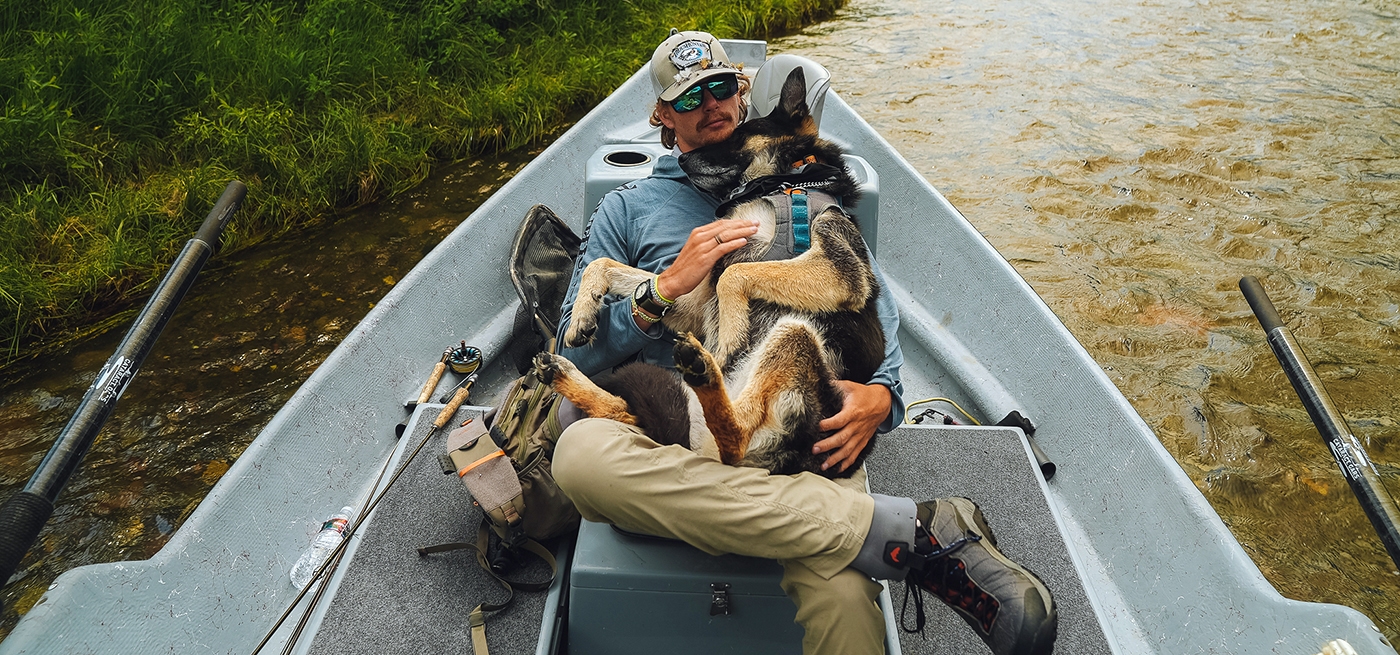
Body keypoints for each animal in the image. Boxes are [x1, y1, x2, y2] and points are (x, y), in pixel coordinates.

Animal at [534, 66, 884, 478]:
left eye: (736, 135)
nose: (683, 161)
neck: (789, 182)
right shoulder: (696, 295)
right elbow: (604, 265)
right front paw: (582, 315)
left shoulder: (841, 271)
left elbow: (736, 275)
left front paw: (731, 336)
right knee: (632, 414)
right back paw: (563, 373)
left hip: (794, 336)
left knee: (734, 437)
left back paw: (707, 369)